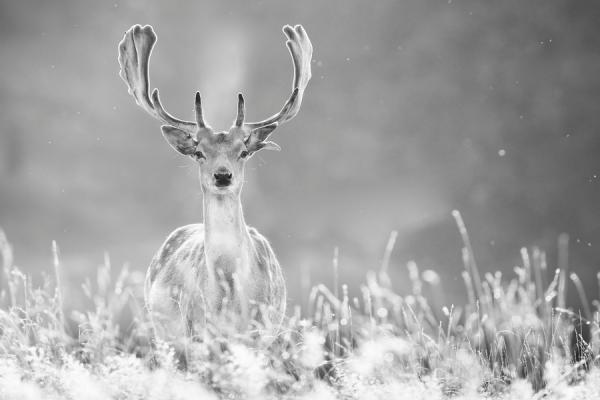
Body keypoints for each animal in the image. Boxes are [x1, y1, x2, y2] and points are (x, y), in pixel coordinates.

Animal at [118, 25, 314, 342]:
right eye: (199, 152)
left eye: (243, 151)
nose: (222, 175)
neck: (228, 292)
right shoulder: (197, 329)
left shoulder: (263, 328)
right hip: (163, 330)